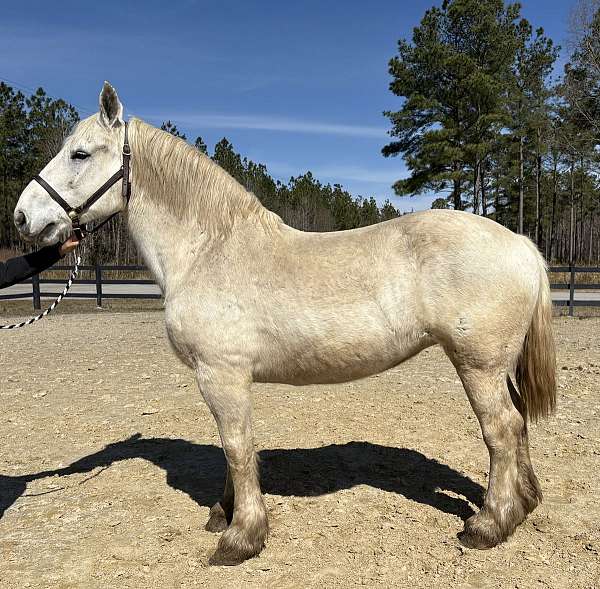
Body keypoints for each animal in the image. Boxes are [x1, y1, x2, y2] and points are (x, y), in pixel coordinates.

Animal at [15, 82, 556, 564]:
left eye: (80, 154)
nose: (22, 217)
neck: (208, 250)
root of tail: (520, 244)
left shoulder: (221, 375)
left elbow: (237, 447)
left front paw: (241, 538)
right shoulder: (222, 379)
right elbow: (231, 448)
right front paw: (223, 513)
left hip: (478, 365)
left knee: (502, 429)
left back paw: (490, 524)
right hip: (495, 367)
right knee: (518, 423)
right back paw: (524, 503)